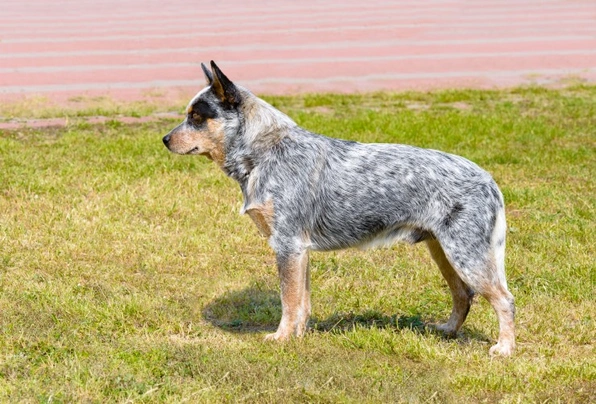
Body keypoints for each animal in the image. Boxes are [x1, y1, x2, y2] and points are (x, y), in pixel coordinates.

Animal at [163, 61, 516, 356]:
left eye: (196, 117)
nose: (165, 139)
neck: (264, 152)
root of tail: (489, 179)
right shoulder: (299, 250)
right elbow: (302, 301)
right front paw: (298, 337)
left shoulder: (287, 244)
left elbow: (288, 300)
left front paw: (280, 338)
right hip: (443, 252)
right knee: (463, 295)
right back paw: (447, 330)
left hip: (466, 255)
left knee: (504, 300)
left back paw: (504, 349)